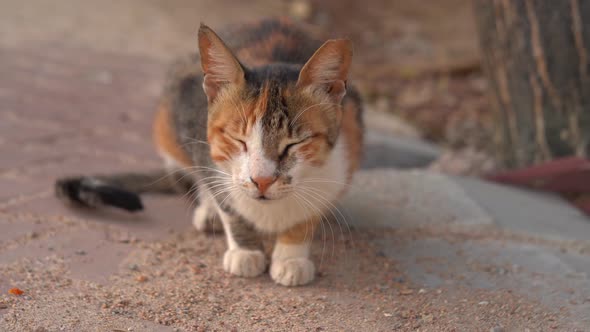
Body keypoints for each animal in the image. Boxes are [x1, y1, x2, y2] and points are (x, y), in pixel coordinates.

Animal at [59, 18, 366, 286]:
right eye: (238, 139)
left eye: (293, 144)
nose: (262, 181)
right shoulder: (196, 135)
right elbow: (225, 198)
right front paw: (245, 250)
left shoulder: (344, 154)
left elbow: (310, 210)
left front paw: (291, 256)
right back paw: (208, 211)